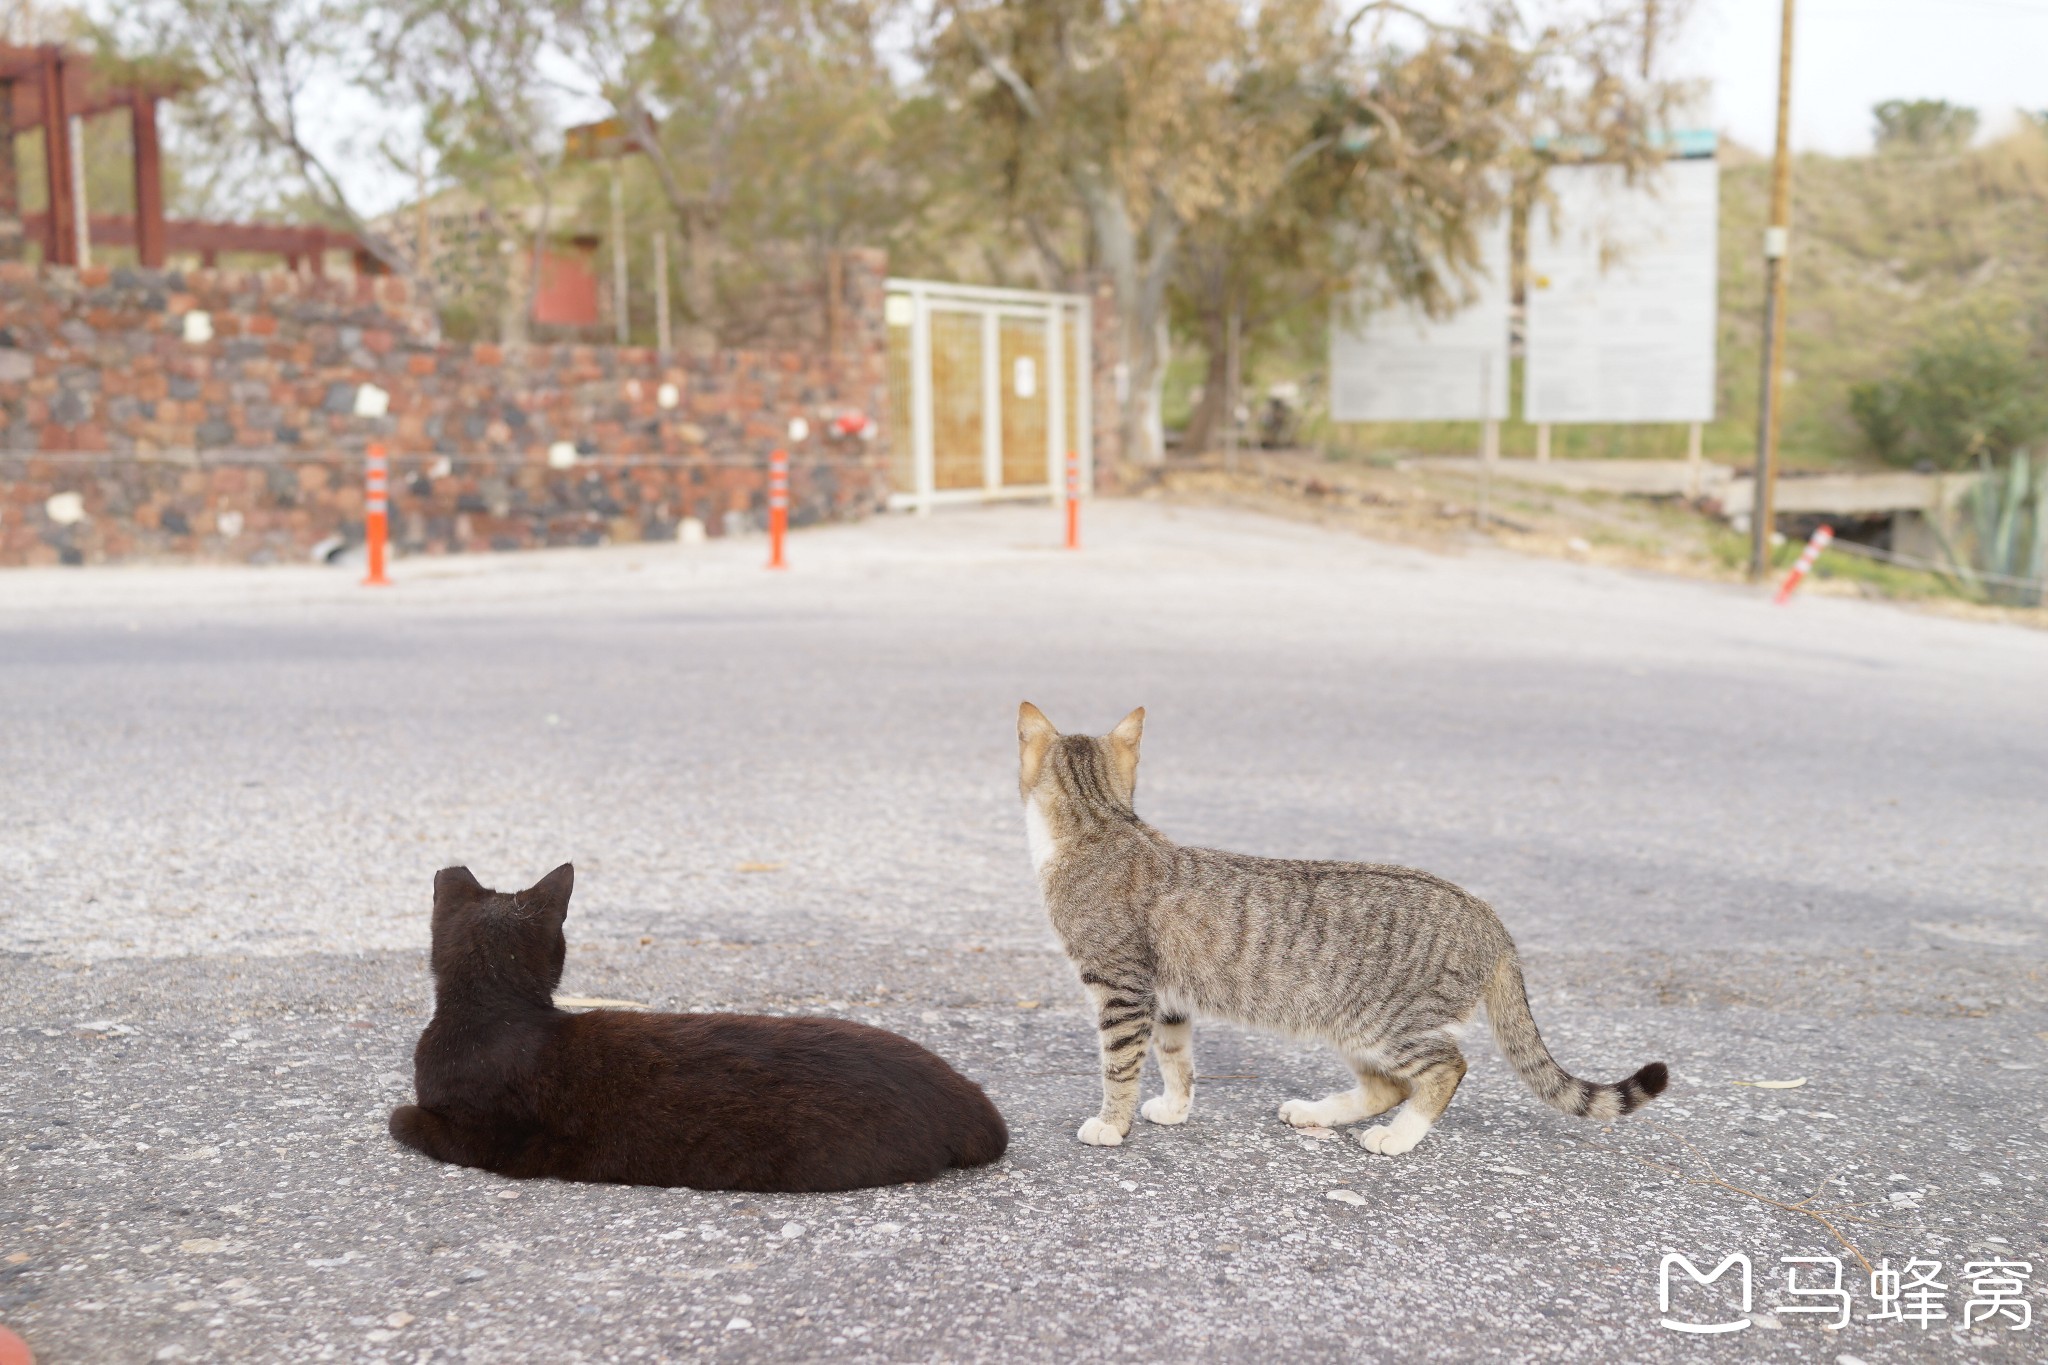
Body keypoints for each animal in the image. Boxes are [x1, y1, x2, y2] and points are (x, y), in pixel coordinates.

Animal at [1015, 712, 1671, 1162]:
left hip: (1385, 1023)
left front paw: (1111, 1124)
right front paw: (1175, 1108)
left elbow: (1120, 1065)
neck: (1100, 826)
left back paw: (1399, 1137)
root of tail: (1487, 913)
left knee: (1445, 1068)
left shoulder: (1122, 990)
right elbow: (1177, 1060)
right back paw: (1318, 1112)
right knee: (1386, 1085)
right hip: (1350, 1025)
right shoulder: (1169, 999)